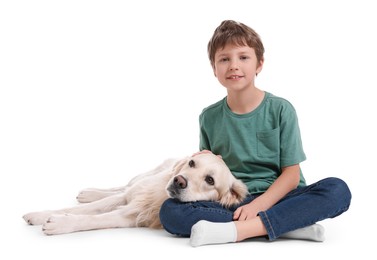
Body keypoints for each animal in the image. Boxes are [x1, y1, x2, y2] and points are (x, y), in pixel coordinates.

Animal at [22, 153, 247, 235]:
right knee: (125, 186)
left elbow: (94, 218)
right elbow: (89, 209)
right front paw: (40, 215)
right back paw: (88, 193)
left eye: (210, 180)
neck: (160, 197)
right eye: (192, 163)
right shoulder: (130, 198)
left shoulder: (129, 215)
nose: (179, 180)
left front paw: (60, 223)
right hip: (147, 176)